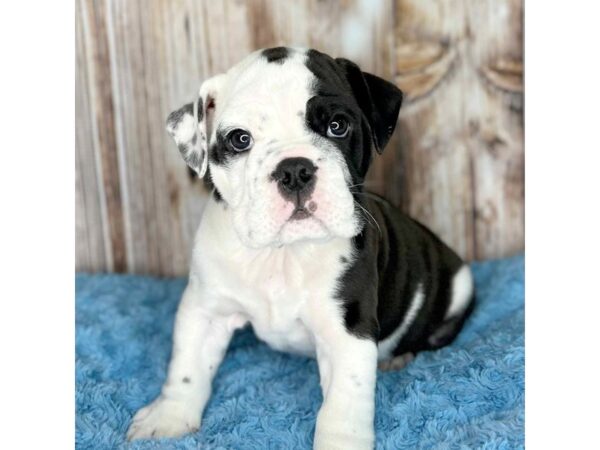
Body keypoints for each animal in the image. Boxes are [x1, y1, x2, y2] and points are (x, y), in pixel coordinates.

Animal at [126, 47, 474, 448]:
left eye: (337, 126)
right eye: (240, 139)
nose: (294, 169)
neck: (282, 253)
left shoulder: (347, 331)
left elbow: (344, 402)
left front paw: (341, 440)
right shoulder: (204, 307)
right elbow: (187, 367)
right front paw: (168, 417)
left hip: (459, 289)